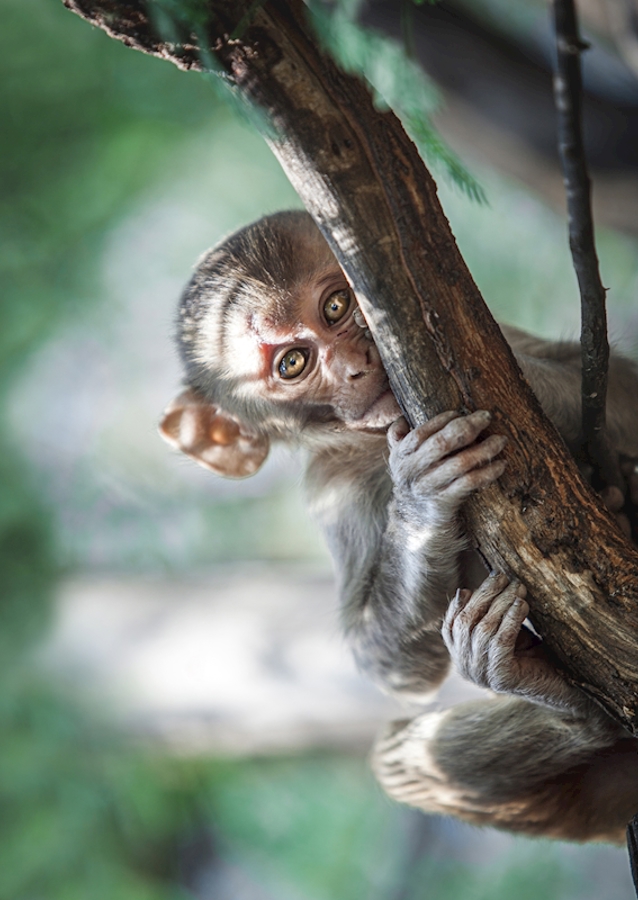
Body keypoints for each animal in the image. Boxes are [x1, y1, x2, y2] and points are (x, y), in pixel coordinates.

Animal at [160, 210, 638, 843]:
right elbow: (393, 668)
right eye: (293, 363)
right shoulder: (335, 494)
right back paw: (562, 704)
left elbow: (623, 387)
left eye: (336, 306)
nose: (357, 365)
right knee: (398, 761)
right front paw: (420, 501)